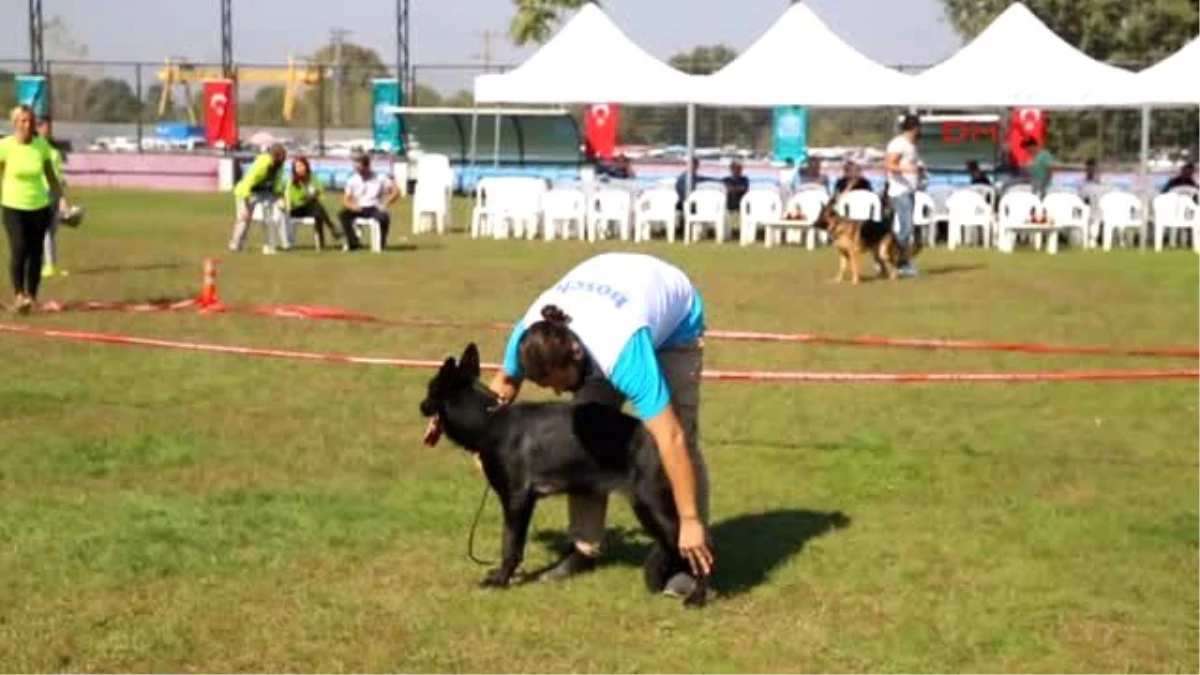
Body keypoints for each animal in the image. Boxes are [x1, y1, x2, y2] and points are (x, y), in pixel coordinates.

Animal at [420, 343, 710, 607]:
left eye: (430, 389)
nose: (421, 406)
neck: (489, 419)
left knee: (698, 548)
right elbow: (515, 545)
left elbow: (510, 545)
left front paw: (501, 580)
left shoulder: (516, 501)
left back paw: (697, 596)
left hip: (651, 505)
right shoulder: (525, 503)